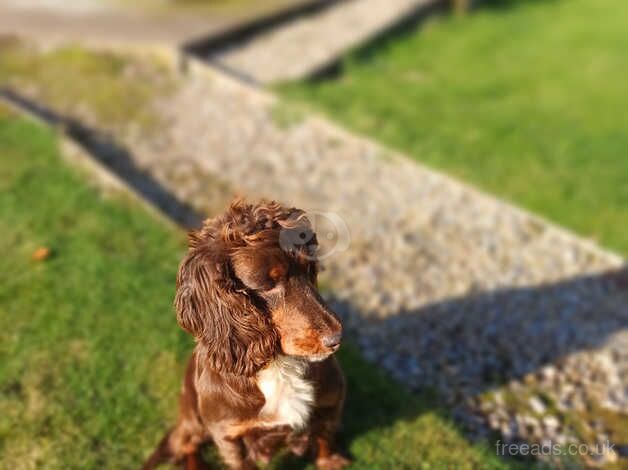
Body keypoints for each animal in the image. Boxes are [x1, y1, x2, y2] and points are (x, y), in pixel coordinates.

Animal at [142, 200, 348, 470]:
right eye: (268, 285)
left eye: (310, 269)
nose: (336, 339)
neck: (278, 365)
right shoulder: (228, 434)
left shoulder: (332, 400)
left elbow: (325, 436)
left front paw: (329, 461)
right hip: (192, 421)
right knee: (188, 446)